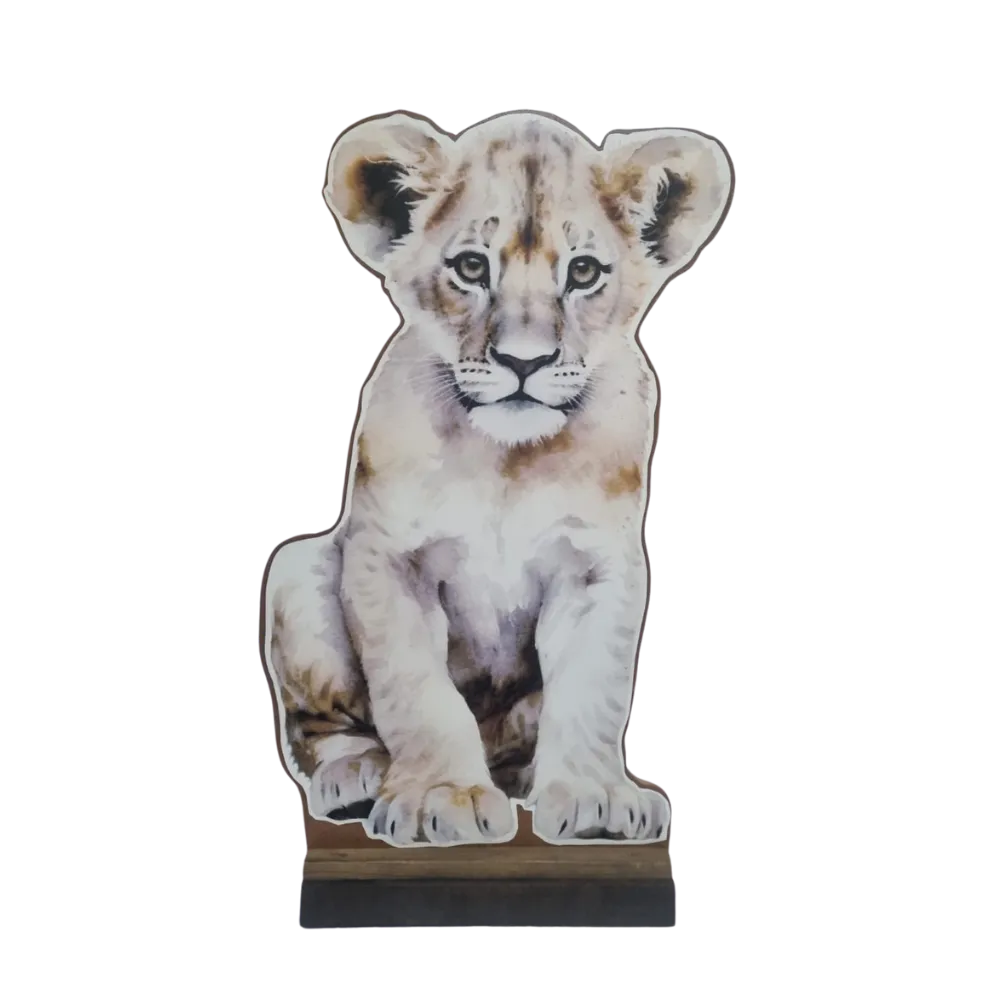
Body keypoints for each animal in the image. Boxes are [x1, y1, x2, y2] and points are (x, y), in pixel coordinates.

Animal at [265, 112, 733, 846]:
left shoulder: (597, 568)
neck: (506, 461)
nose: (524, 361)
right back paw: (358, 777)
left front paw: (597, 797)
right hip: (296, 571)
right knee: (323, 727)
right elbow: (417, 691)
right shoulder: (388, 560)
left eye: (584, 271)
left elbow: (591, 688)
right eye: (471, 267)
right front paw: (440, 796)